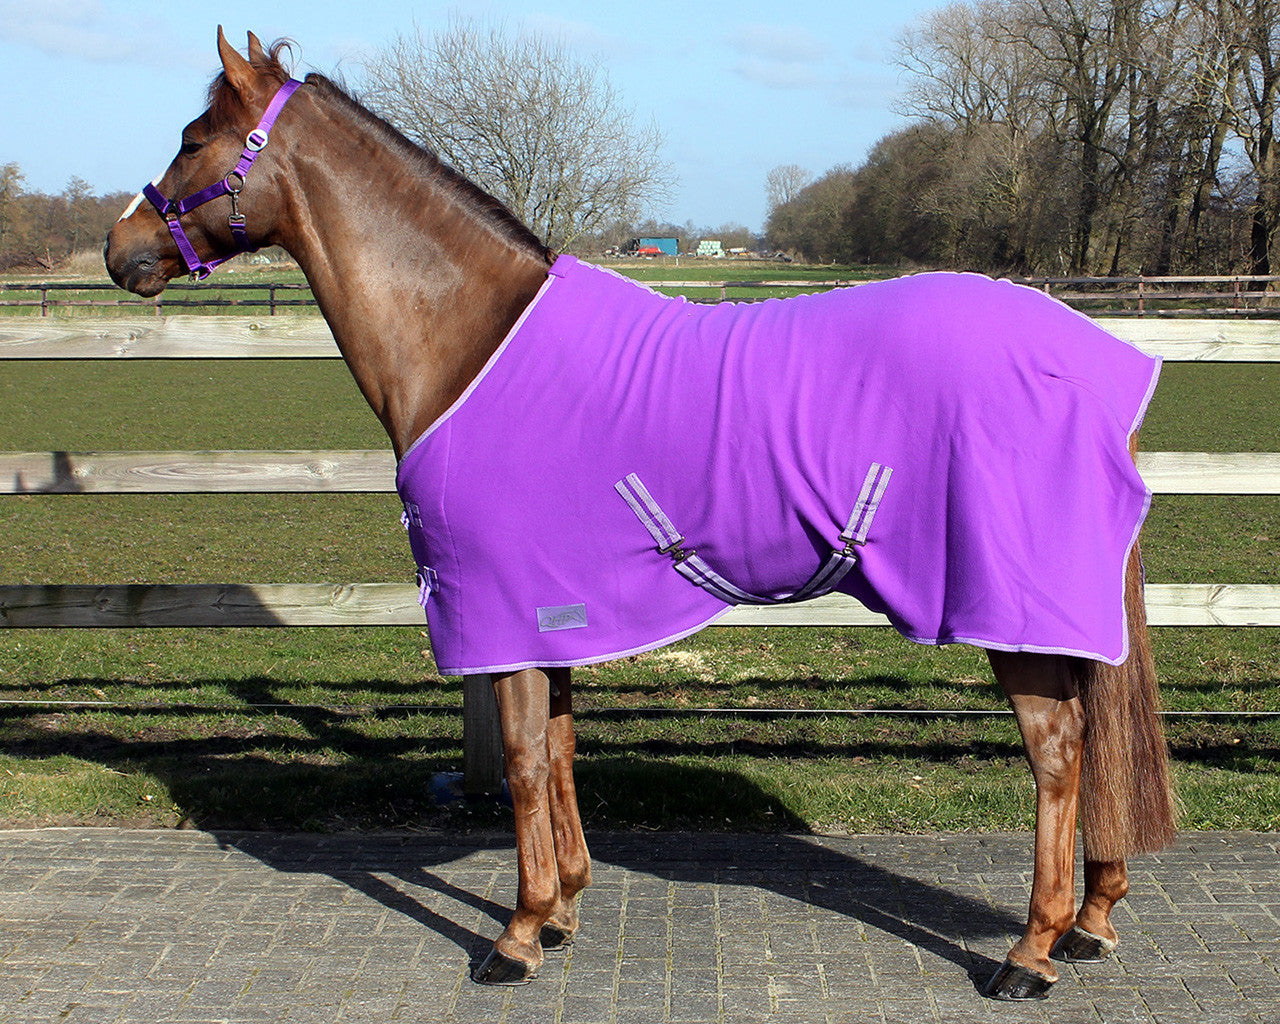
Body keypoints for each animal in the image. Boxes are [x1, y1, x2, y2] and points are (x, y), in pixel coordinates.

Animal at [105, 29, 1177, 1001]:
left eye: (194, 139)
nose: (121, 252)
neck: (470, 341)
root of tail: (1092, 361)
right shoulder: (553, 609)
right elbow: (562, 751)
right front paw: (567, 907)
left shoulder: (501, 609)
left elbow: (524, 764)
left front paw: (517, 935)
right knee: (1094, 745)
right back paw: (1091, 921)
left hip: (1012, 611)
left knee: (1059, 754)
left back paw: (1030, 953)